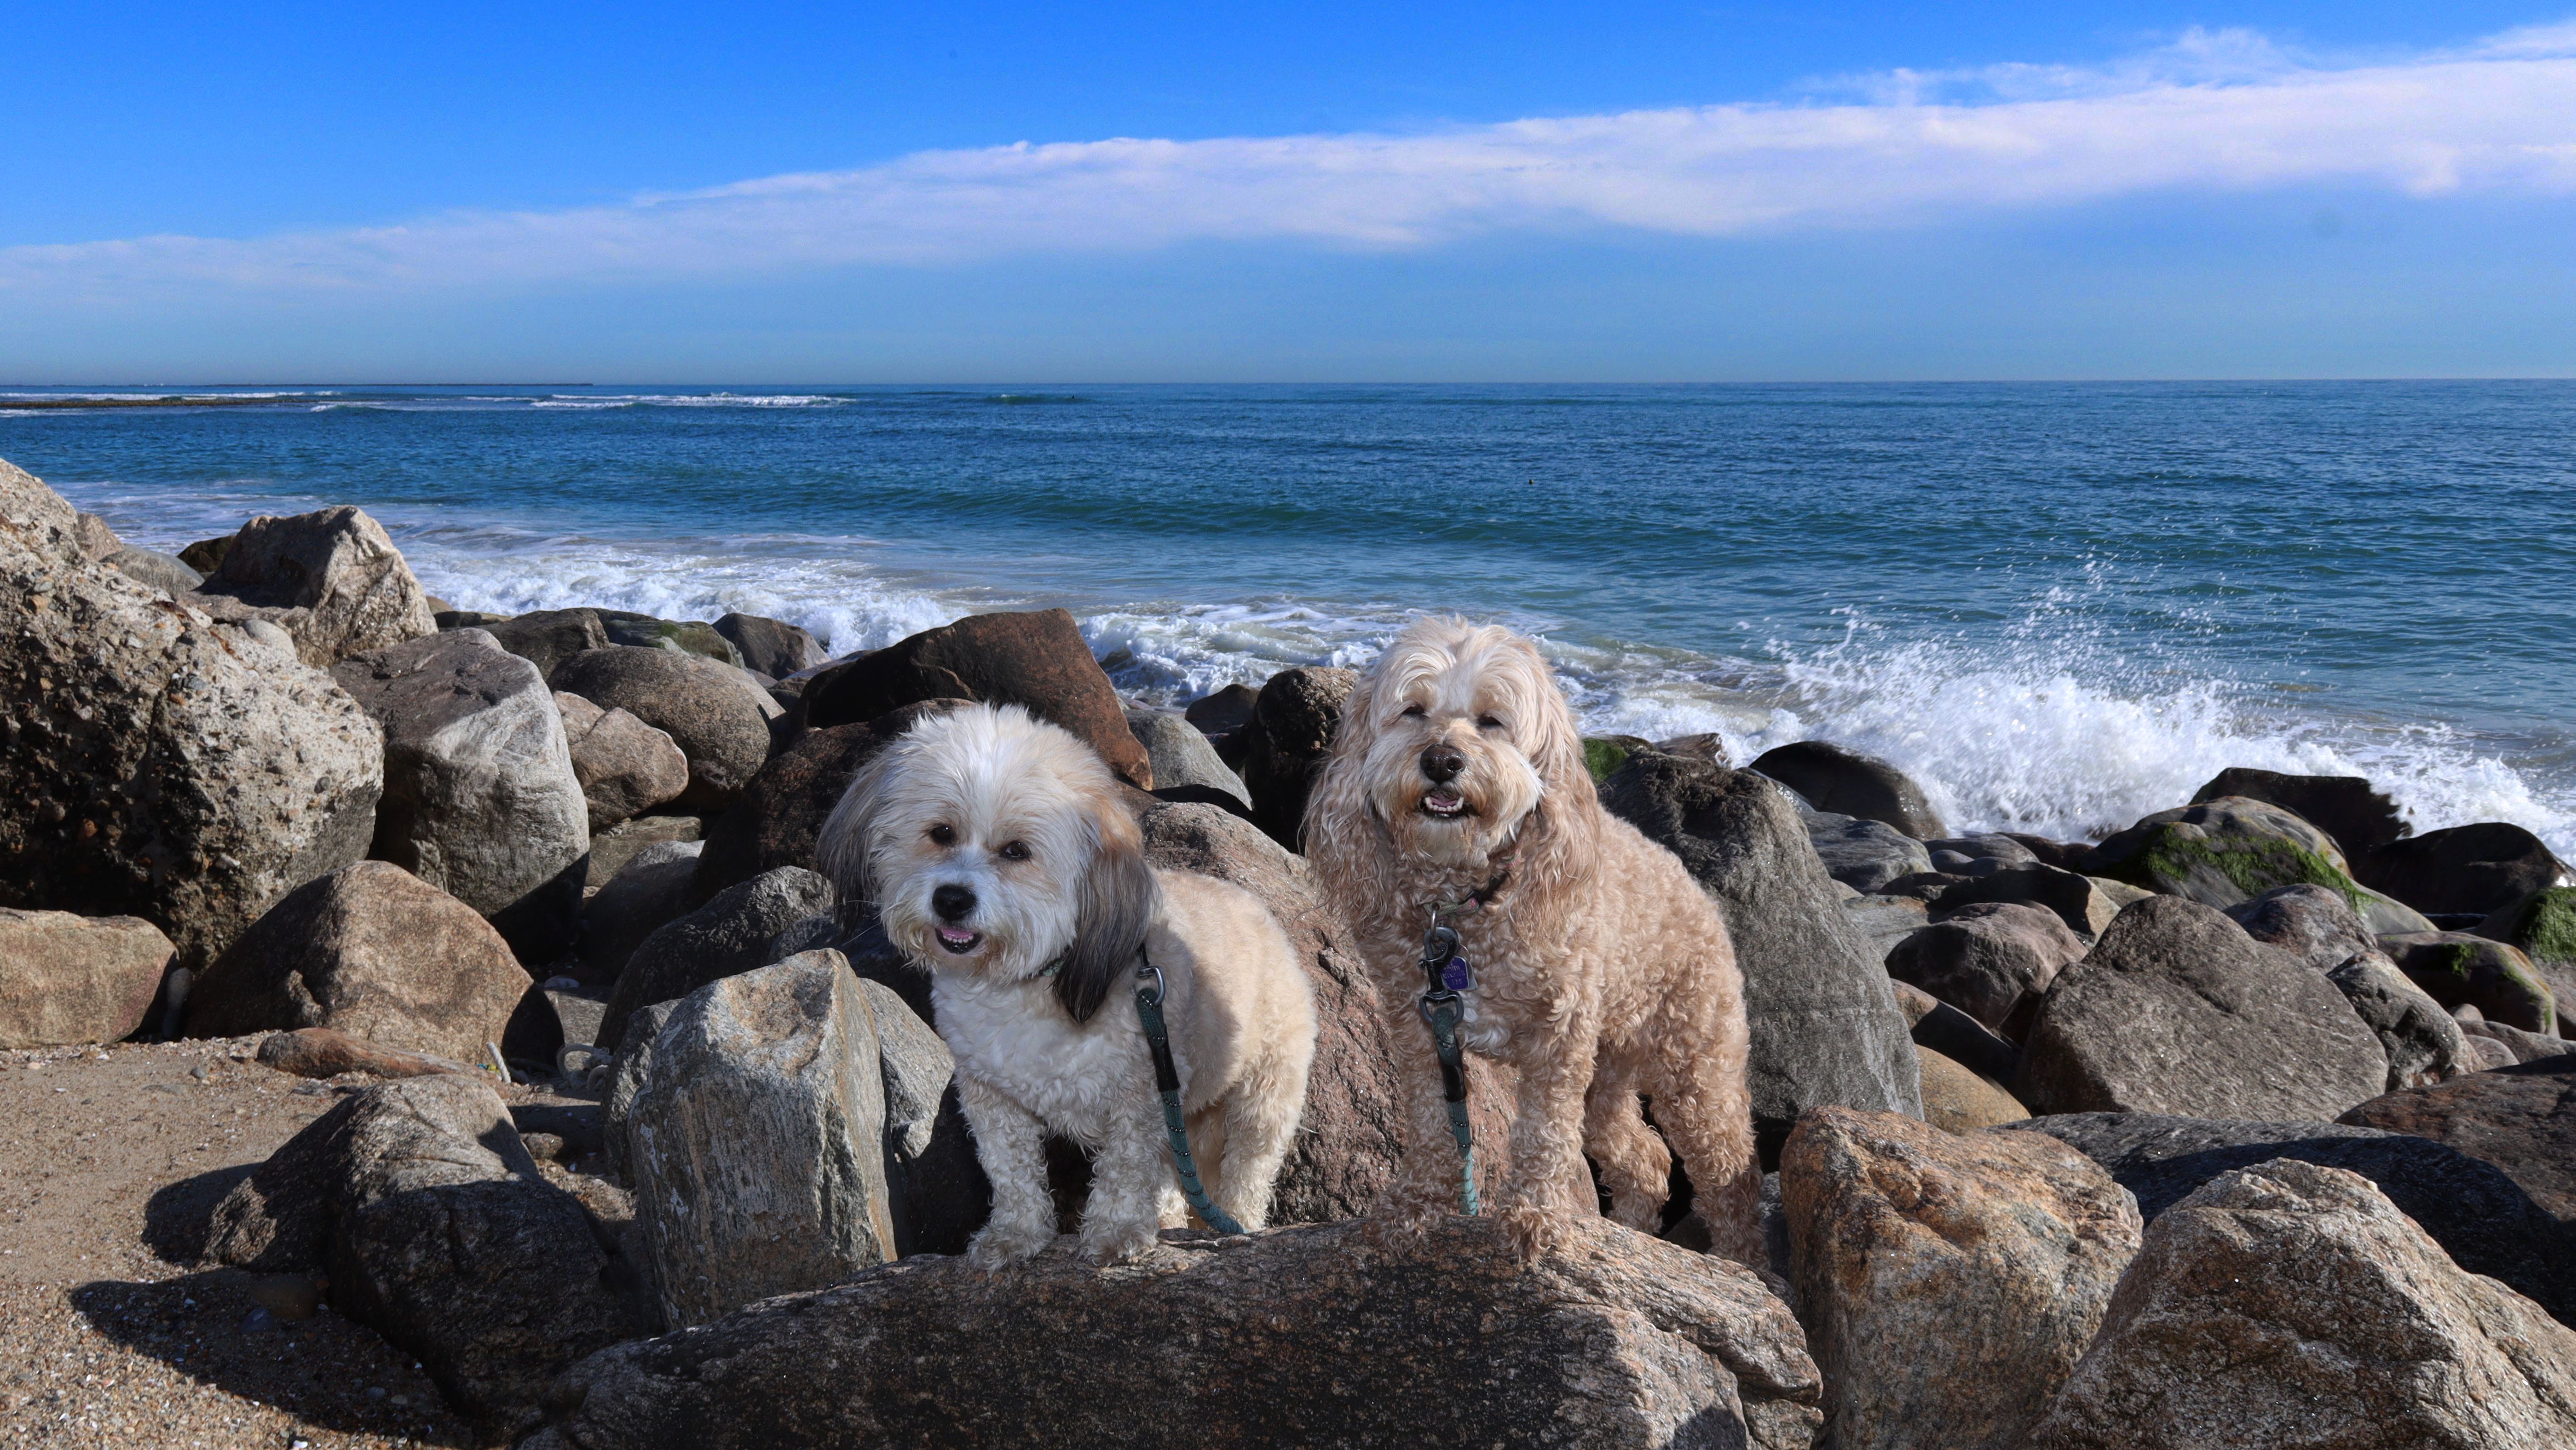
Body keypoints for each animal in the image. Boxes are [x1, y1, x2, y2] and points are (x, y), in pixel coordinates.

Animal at [818, 702, 1318, 1268]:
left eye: (1016, 851)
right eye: (940, 832)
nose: (951, 899)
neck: (1032, 979)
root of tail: (1264, 914)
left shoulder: (1138, 1097)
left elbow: (1125, 1171)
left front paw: (1116, 1233)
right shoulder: (992, 1097)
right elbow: (1011, 1171)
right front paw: (1014, 1235)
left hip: (1263, 1095)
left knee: (1247, 1167)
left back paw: (1237, 1223)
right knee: (1175, 1170)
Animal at [1305, 617, 1760, 1262]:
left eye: (1492, 720)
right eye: (1412, 711)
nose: (1441, 760)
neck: (1464, 899)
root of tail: (1700, 895)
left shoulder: (1560, 1037)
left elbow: (1543, 1132)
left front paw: (1532, 1215)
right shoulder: (1421, 1031)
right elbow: (1430, 1121)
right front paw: (1416, 1204)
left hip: (1696, 1064)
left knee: (1731, 1177)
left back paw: (1744, 1264)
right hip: (1609, 1068)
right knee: (1644, 1157)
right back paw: (1632, 1227)